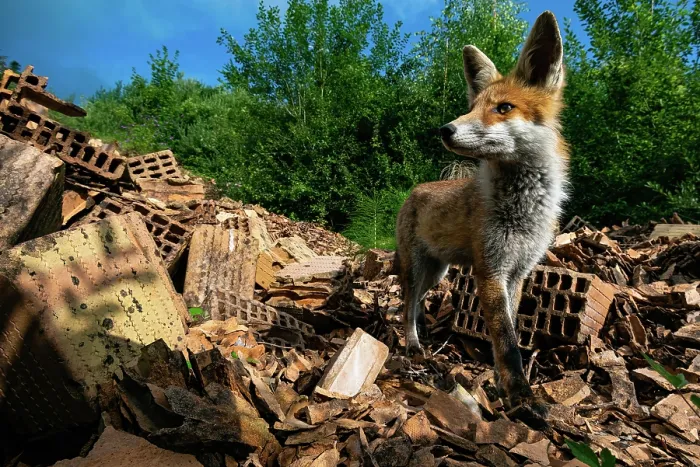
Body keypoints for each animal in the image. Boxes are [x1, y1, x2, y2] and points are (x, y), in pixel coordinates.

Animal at [395, 11, 568, 428]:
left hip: (437, 273)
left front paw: (500, 386)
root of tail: (414, 190)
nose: (445, 130)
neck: (522, 212)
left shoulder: (517, 272)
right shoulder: (490, 270)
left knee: (415, 304)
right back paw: (412, 345)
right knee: (406, 307)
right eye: (473, 106)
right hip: (417, 270)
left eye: (503, 108)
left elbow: (509, 333)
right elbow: (508, 344)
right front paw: (521, 400)